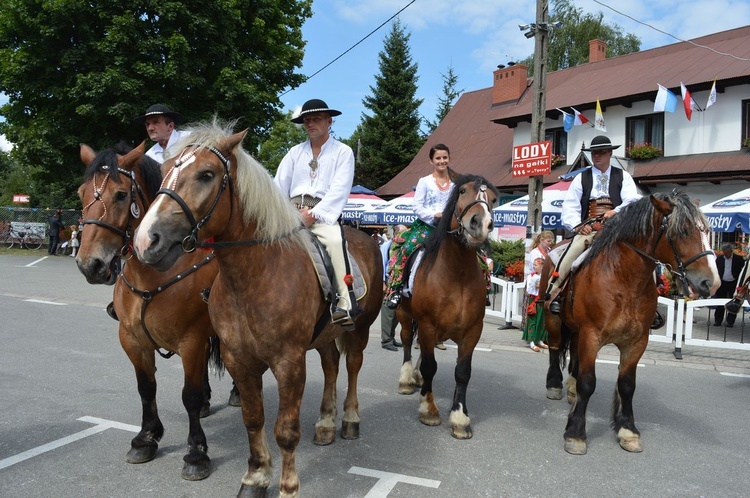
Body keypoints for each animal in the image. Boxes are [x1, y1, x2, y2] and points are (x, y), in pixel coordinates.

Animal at [76, 142, 231, 480]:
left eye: (122, 195)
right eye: (81, 193)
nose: (89, 264)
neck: (155, 273)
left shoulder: (192, 341)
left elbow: (189, 395)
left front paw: (196, 453)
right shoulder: (132, 339)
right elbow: (146, 388)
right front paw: (146, 438)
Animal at [130, 121, 384, 498]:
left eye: (206, 174)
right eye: (164, 172)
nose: (147, 240)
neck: (255, 276)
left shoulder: (289, 362)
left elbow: (286, 430)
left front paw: (288, 487)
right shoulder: (239, 359)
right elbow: (253, 420)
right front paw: (255, 478)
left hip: (360, 329)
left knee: (351, 366)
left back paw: (349, 420)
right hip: (325, 336)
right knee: (331, 367)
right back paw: (325, 423)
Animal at [394, 171, 500, 440]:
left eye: (494, 199)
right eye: (462, 191)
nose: (479, 223)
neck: (456, 274)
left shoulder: (473, 330)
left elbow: (462, 372)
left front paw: (460, 418)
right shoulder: (427, 324)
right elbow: (431, 366)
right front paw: (429, 410)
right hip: (403, 313)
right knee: (408, 341)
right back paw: (407, 379)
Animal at [540, 194, 724, 456]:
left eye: (707, 231)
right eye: (683, 231)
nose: (712, 282)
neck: (624, 280)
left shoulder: (636, 342)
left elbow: (627, 385)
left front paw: (628, 431)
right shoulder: (592, 335)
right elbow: (588, 382)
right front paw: (575, 433)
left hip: (576, 329)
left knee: (573, 353)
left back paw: (571, 389)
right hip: (553, 318)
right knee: (555, 348)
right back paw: (554, 384)